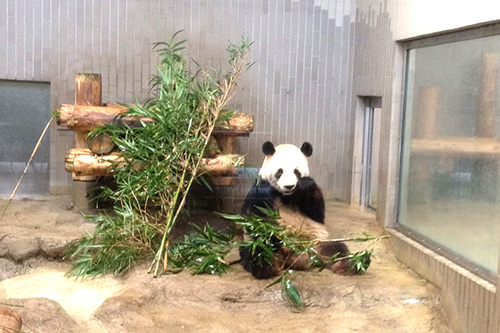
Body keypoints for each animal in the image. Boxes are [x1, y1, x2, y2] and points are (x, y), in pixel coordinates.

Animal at [238, 139, 368, 278]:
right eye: (280, 172)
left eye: (296, 171)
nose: (289, 186)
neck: (286, 195)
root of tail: (297, 258)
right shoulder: (261, 189)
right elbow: (255, 218)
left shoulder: (308, 197)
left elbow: (317, 213)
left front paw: (305, 183)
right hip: (255, 245)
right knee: (258, 250)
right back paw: (265, 268)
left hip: (318, 244)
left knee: (338, 249)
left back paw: (353, 264)